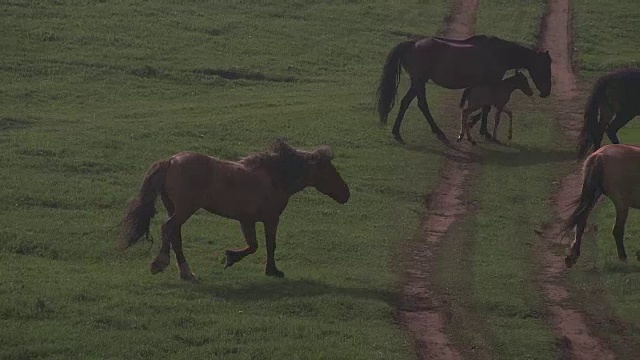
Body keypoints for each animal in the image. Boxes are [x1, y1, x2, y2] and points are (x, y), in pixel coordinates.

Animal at [120, 139, 350, 280]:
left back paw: (187, 273)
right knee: (167, 228)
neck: (275, 176)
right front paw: (272, 270)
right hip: (184, 209)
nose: (346, 194)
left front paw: (230, 257)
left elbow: (253, 245)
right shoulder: (271, 218)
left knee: (174, 235)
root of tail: (171, 160)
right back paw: (160, 263)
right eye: (329, 170)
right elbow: (269, 245)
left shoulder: (246, 220)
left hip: (174, 208)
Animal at [378, 34, 552, 143]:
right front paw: (482, 130)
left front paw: (472, 124)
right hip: (418, 82)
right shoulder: (492, 83)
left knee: (422, 105)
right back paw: (397, 133)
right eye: (546, 68)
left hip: (419, 83)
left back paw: (437, 131)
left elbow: (485, 107)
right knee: (406, 102)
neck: (499, 54)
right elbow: (486, 108)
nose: (546, 92)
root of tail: (412, 44)